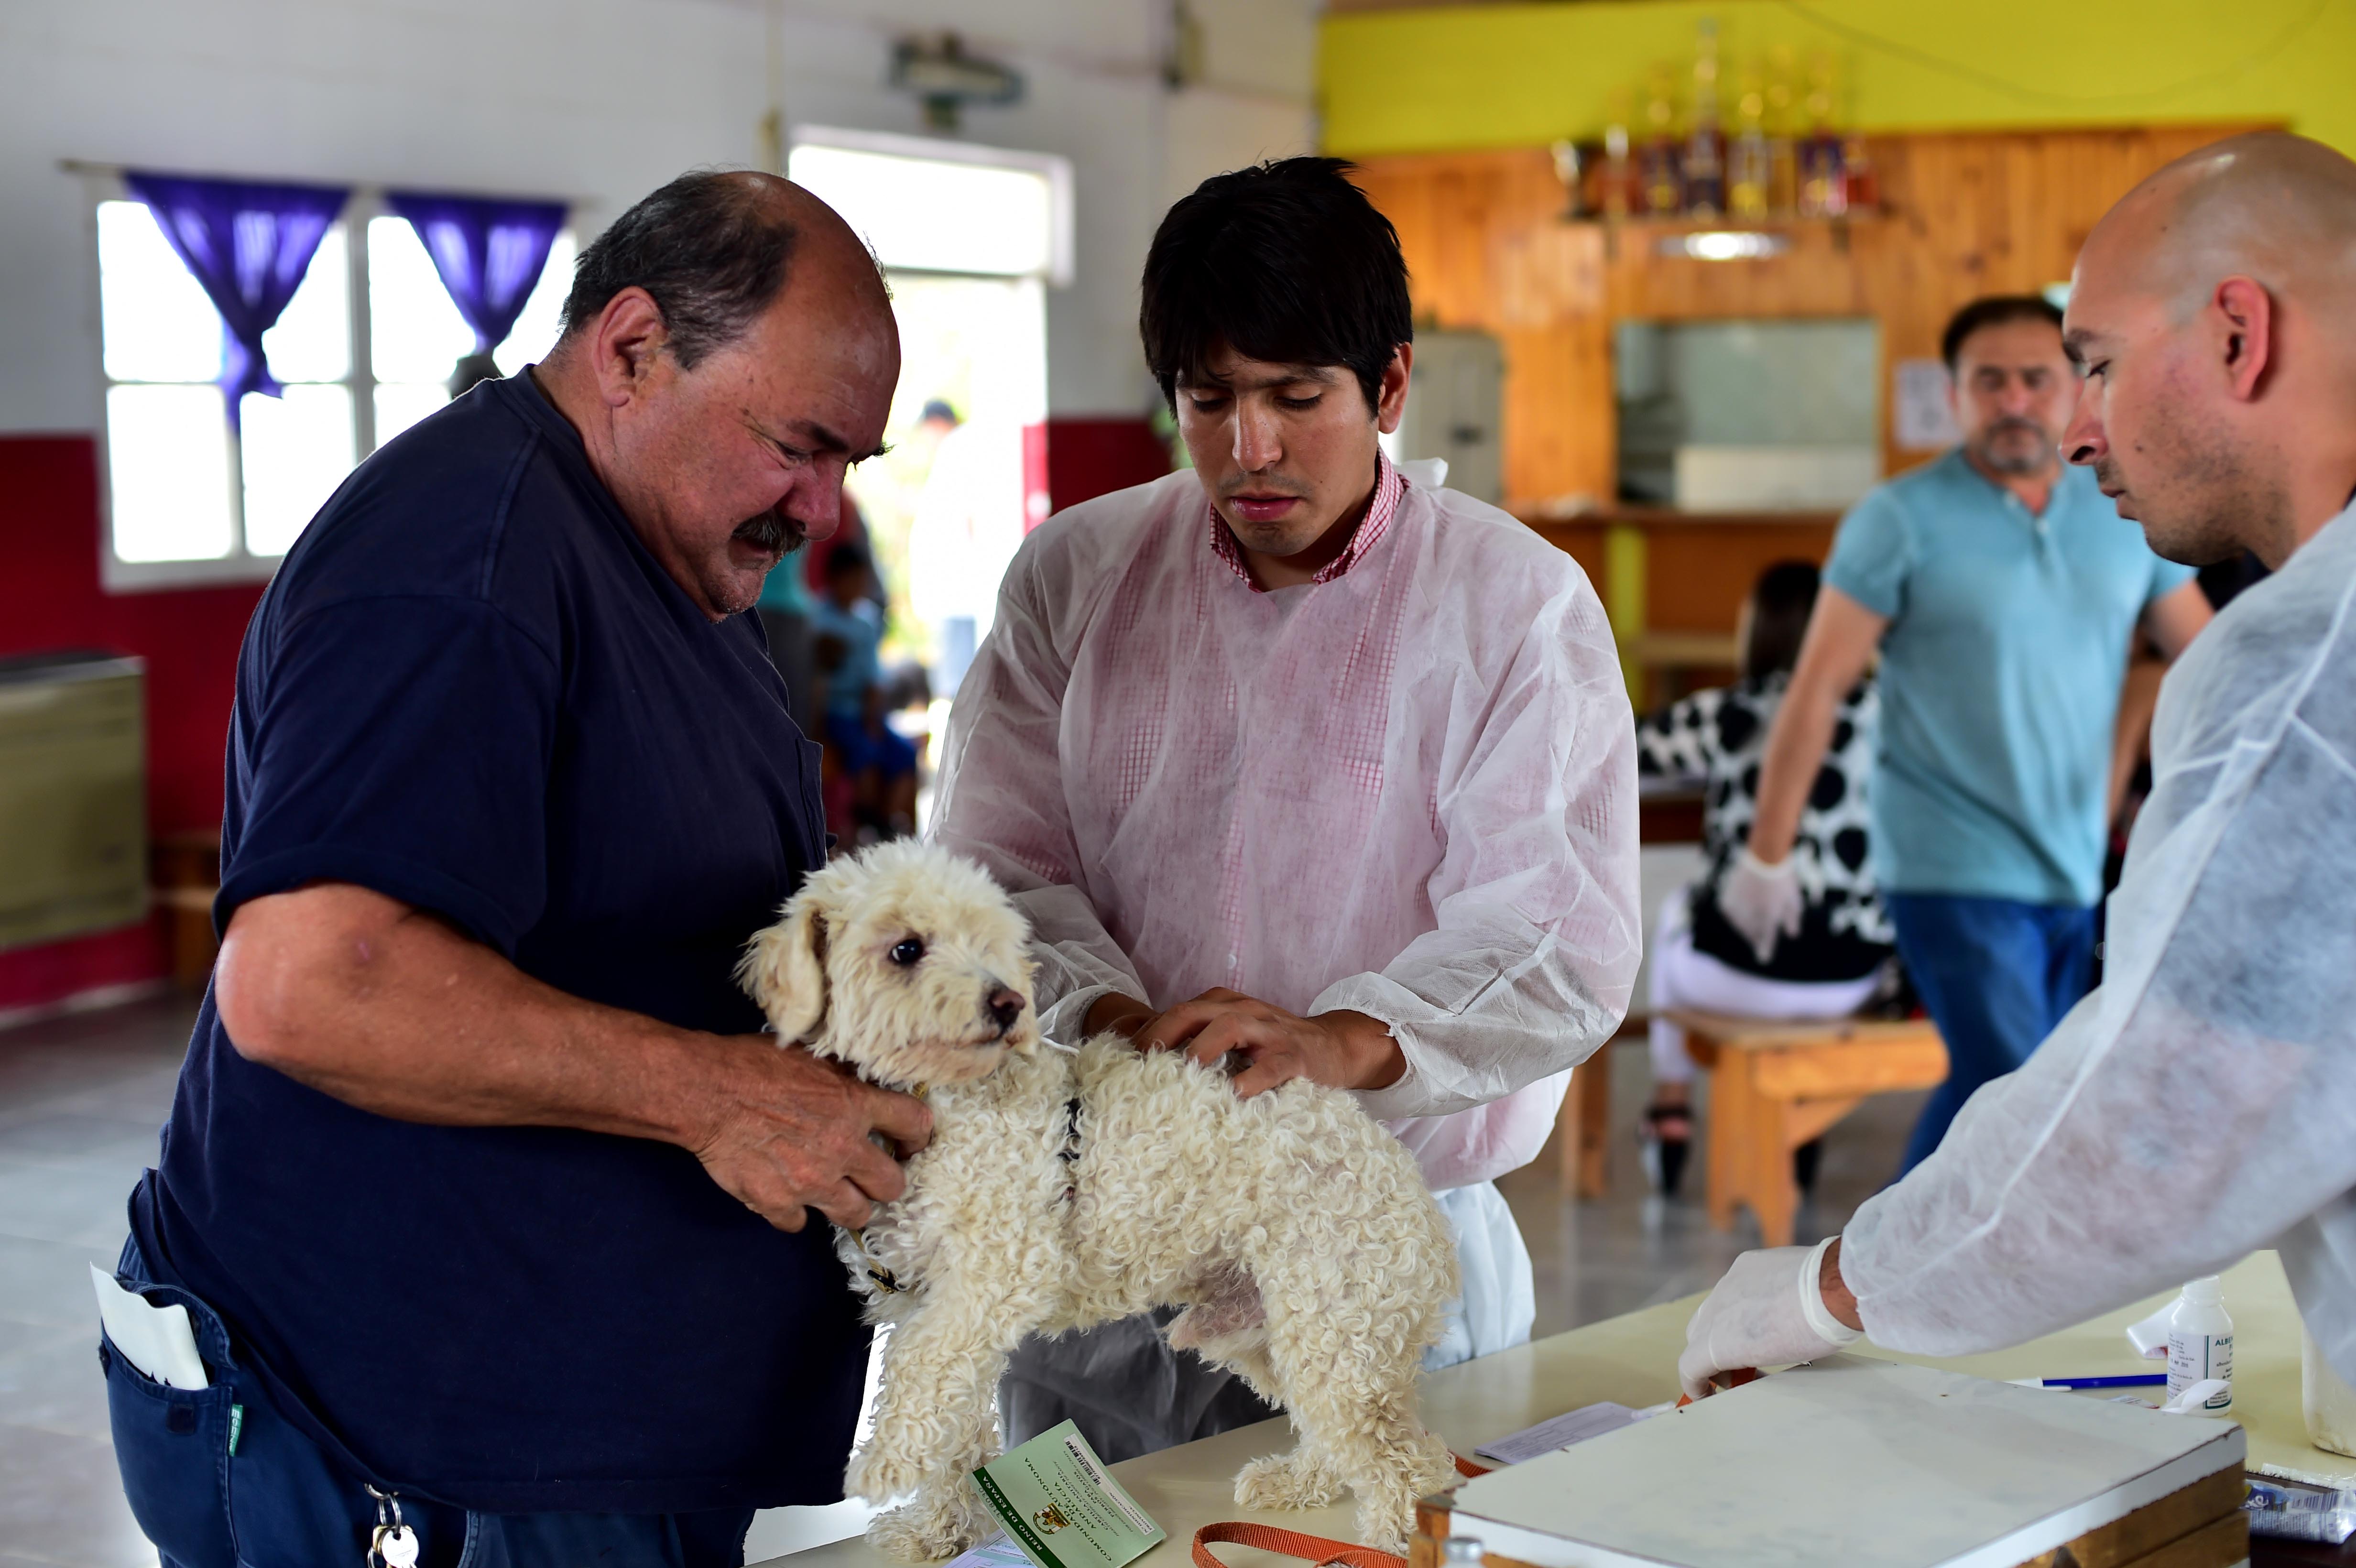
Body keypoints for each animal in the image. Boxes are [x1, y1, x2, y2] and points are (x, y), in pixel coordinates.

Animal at [744, 847, 1461, 1554]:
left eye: (990, 942)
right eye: (905, 949)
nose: (1007, 1003)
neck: (938, 1097)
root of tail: (1411, 1188)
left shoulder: (993, 1278)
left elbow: (919, 1367)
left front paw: (885, 1462)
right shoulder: (924, 1300)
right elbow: (954, 1429)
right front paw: (939, 1532)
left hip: (1336, 1329)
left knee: (1406, 1458)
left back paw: (1400, 1530)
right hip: (1271, 1332)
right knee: (1360, 1437)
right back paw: (1298, 1482)